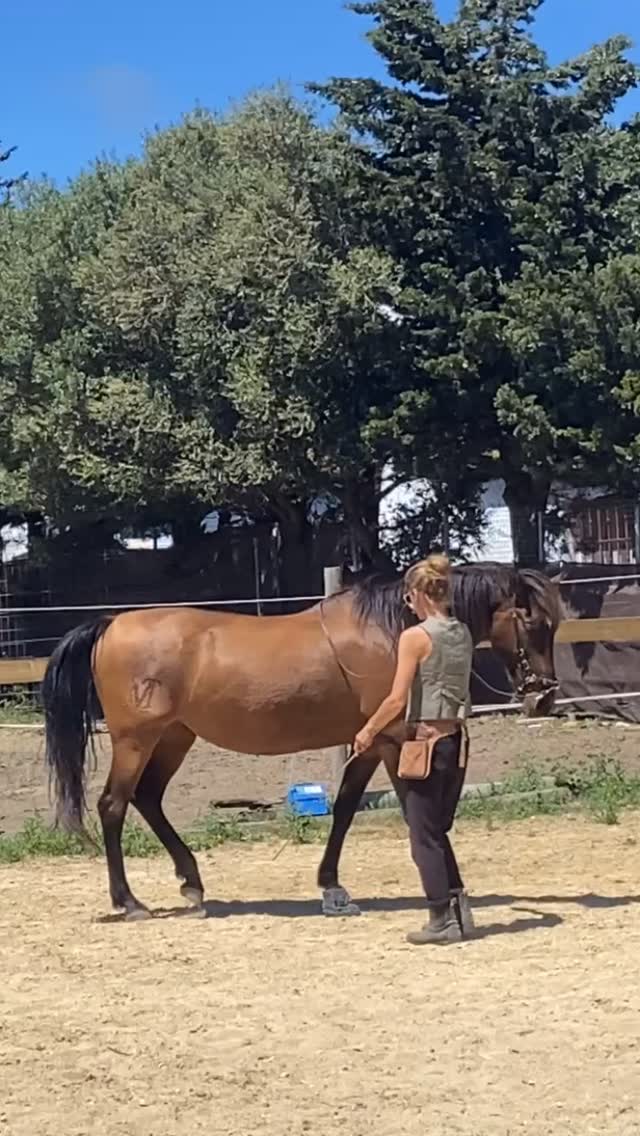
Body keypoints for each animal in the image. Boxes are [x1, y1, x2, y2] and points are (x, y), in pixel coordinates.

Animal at [41, 562, 561, 920]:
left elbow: (347, 806)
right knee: (113, 805)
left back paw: (191, 882)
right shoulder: (392, 740)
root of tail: (112, 623)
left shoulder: (369, 742)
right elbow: (415, 808)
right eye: (533, 622)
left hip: (174, 737)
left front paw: (331, 887)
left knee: (148, 798)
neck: (391, 631)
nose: (544, 698)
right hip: (137, 740)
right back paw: (129, 901)